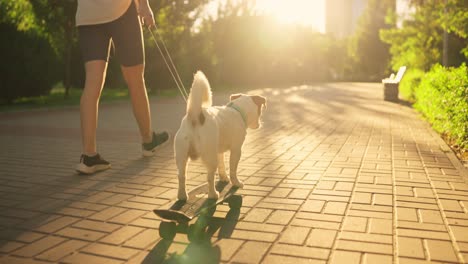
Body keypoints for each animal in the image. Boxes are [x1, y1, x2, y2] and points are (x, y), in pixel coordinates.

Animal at [174, 71, 266, 199]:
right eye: (260, 111)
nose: (259, 125)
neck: (237, 110)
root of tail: (196, 117)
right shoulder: (236, 150)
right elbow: (233, 170)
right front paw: (236, 183)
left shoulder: (219, 151)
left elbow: (222, 166)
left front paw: (224, 178)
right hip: (210, 157)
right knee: (209, 176)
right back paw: (213, 194)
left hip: (181, 157)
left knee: (181, 176)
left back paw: (182, 196)